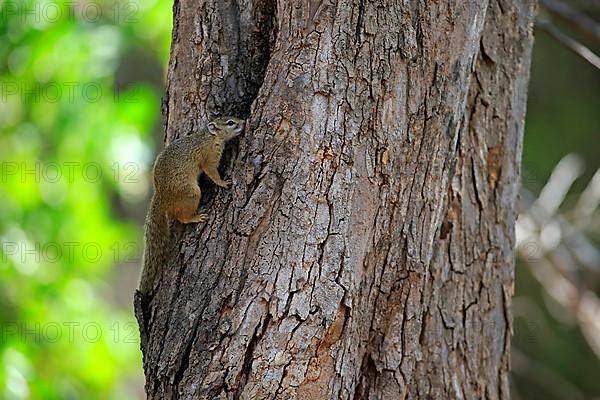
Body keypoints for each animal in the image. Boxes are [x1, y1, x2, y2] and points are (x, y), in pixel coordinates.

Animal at [138, 116, 244, 294]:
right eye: (230, 122)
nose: (243, 122)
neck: (209, 136)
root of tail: (162, 198)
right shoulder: (210, 156)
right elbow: (212, 172)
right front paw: (223, 183)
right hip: (192, 193)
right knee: (182, 217)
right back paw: (194, 217)